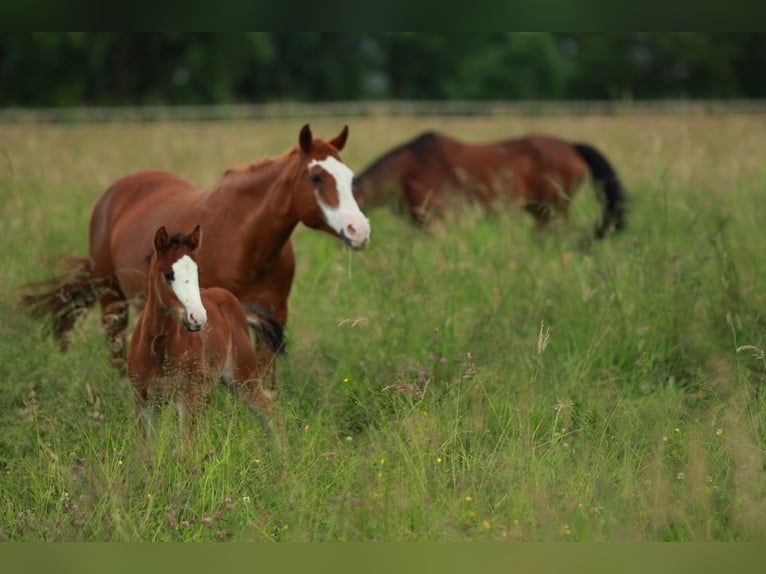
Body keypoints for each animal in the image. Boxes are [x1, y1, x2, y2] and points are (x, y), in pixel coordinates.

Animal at [23, 126, 372, 378]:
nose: (359, 229)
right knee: (115, 350)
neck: (246, 242)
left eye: (349, 177)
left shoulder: (274, 317)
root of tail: (113, 194)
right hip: (111, 299)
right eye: (316, 176)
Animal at [127, 225, 284, 446]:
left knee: (272, 413)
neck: (159, 348)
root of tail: (236, 303)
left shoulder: (187, 398)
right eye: (168, 274)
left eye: (197, 272)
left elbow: (186, 448)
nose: (198, 318)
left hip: (243, 378)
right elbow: (145, 449)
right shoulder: (142, 400)